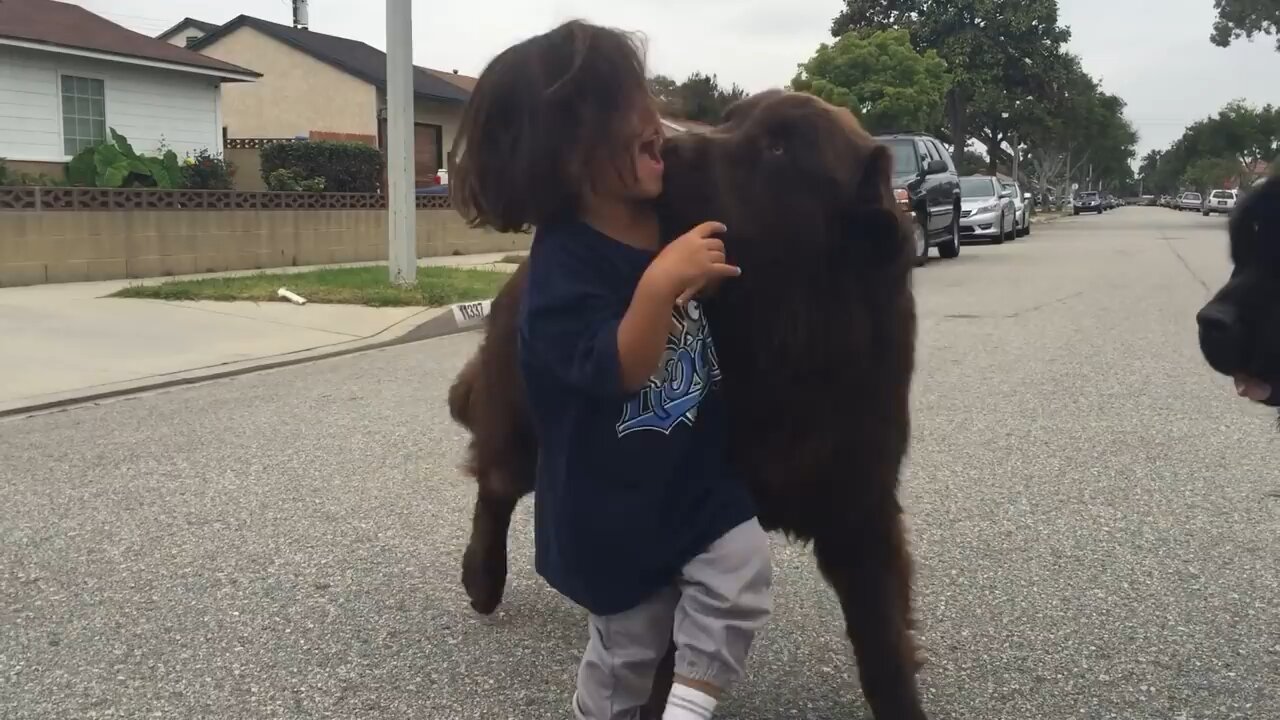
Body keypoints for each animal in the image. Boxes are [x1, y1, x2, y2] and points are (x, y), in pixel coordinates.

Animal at [450, 90, 931, 717]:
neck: (787, 332)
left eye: (778, 148)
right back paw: (482, 578)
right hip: (529, 423)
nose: (666, 148)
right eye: (730, 119)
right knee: (497, 484)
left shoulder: (860, 505)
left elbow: (883, 643)